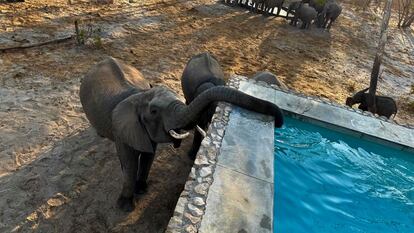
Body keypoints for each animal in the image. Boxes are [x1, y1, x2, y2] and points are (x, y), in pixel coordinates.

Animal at [79, 56, 284, 211]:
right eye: (154, 111)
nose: (280, 122)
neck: (139, 95)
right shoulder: (123, 130)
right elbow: (129, 162)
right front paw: (126, 208)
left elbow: (149, 155)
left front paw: (142, 190)